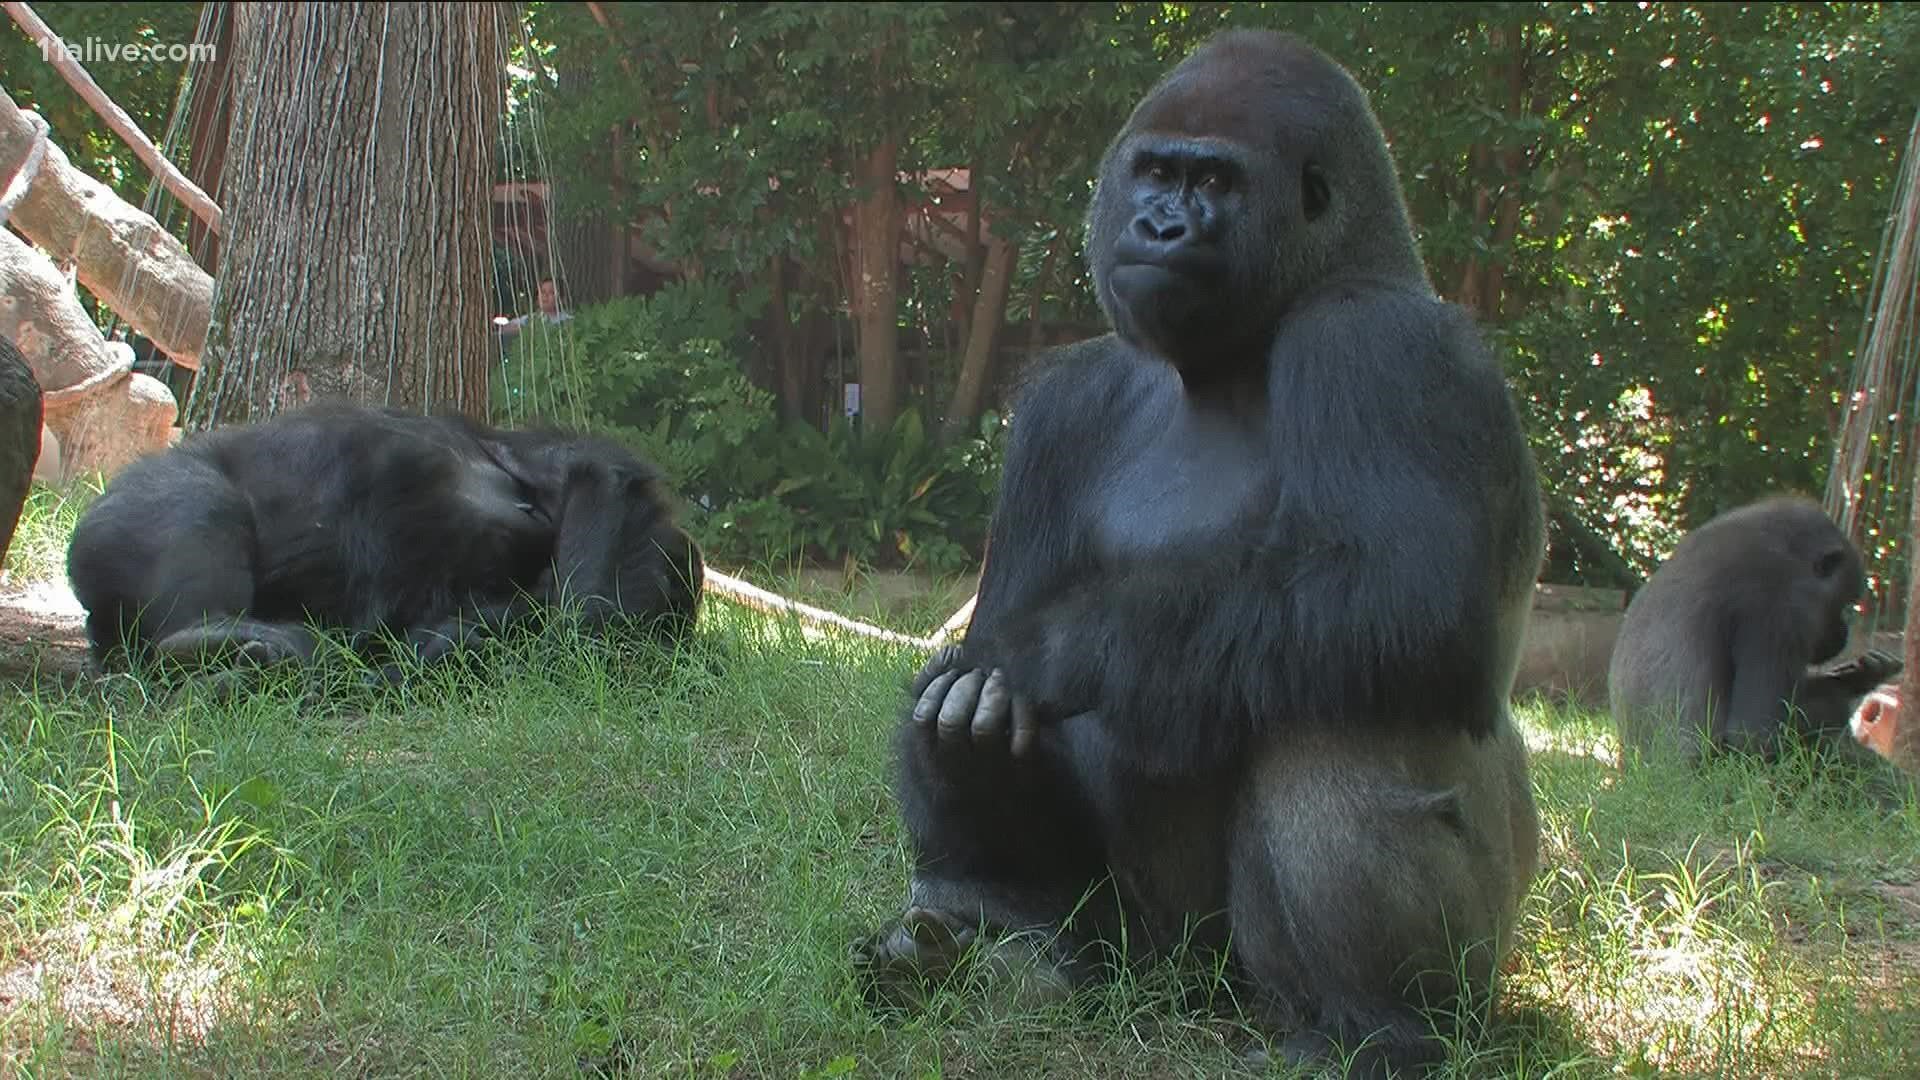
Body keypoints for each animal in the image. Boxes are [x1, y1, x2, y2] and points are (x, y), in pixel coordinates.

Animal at [856, 29, 1543, 1068]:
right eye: (1154, 171)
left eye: (1214, 181)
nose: (1160, 225)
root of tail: (1190, 994)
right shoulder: (1062, 404)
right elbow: (977, 665)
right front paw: (968, 742)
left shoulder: (1377, 341)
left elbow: (1407, 597)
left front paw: (1046, 654)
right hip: (1139, 959)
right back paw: (1005, 943)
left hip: (1437, 963)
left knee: (1338, 705)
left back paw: (1382, 1031)